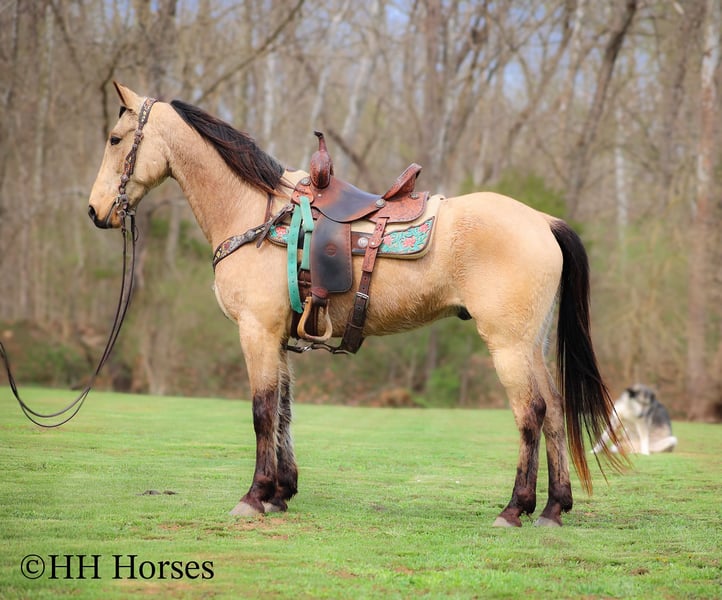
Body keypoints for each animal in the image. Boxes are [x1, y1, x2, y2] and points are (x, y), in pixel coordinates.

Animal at [88, 82, 625, 527]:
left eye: (115, 138)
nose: (95, 211)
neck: (256, 212)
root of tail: (542, 221)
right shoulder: (279, 339)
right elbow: (283, 413)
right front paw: (280, 493)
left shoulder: (256, 331)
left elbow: (262, 411)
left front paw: (254, 496)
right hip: (532, 344)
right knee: (554, 412)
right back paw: (553, 508)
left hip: (508, 346)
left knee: (530, 412)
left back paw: (515, 508)